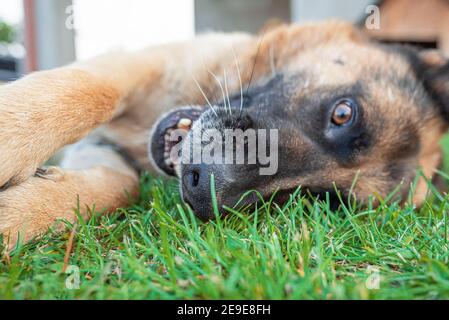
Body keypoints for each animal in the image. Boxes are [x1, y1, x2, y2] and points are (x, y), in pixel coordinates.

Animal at [0, 21, 446, 248]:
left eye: (322, 200)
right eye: (343, 113)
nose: (202, 189)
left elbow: (118, 187)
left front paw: (18, 215)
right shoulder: (144, 64)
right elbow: (92, 90)